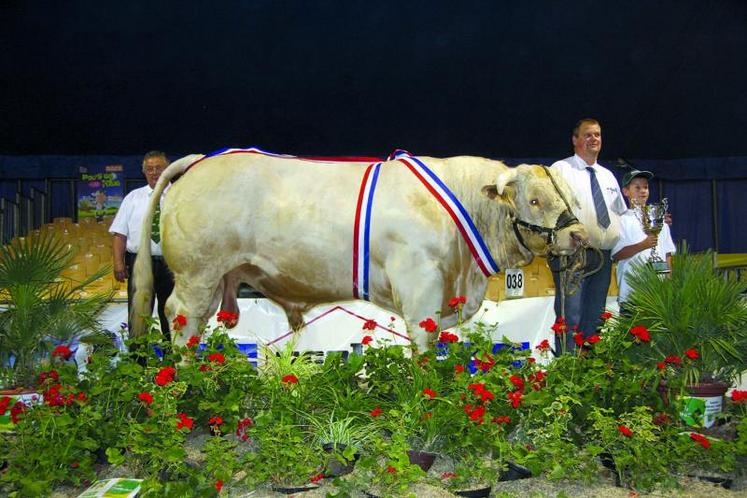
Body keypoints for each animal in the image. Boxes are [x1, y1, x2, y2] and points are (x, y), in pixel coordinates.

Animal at [134, 151, 592, 350]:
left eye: (567, 195)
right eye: (534, 200)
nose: (578, 235)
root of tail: (200, 160)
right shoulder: (421, 288)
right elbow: (424, 346)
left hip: (215, 280)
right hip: (197, 273)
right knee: (180, 318)